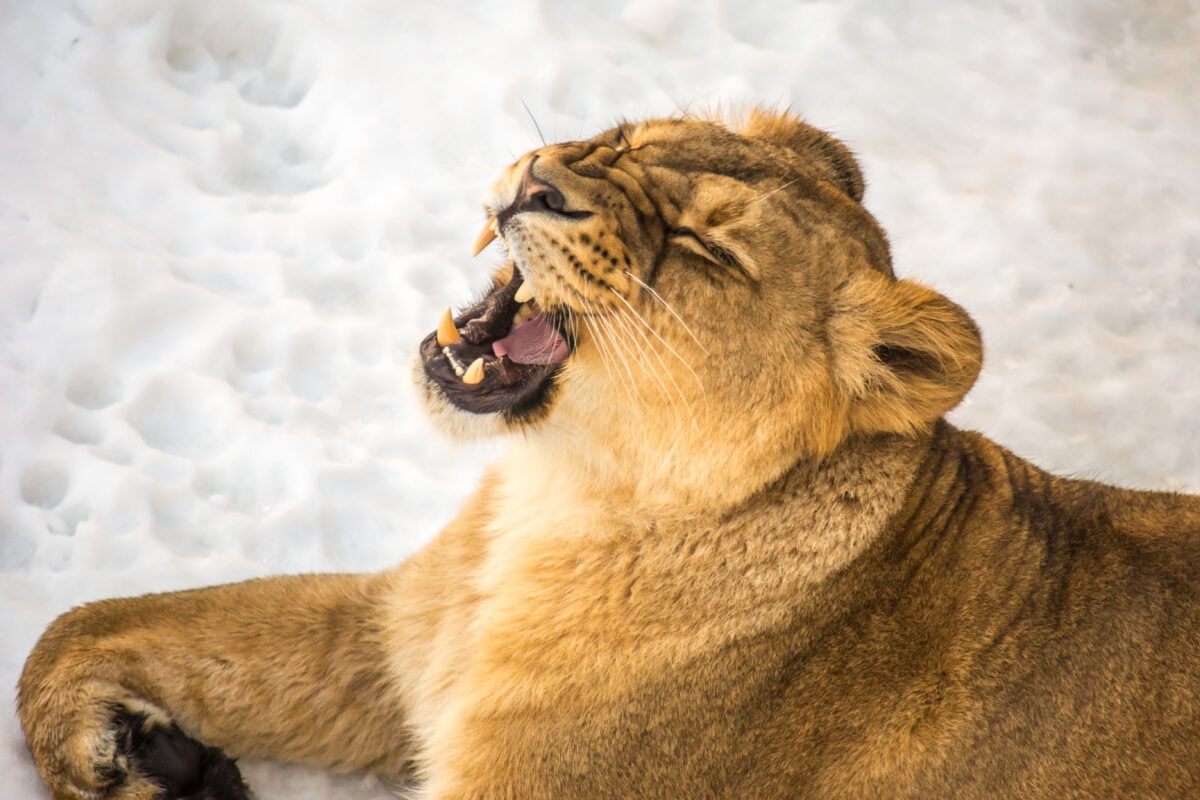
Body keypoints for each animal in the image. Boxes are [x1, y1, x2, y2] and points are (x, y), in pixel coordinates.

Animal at [16, 107, 1200, 800]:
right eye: (617, 139)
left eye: (708, 248)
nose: (538, 180)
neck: (563, 502)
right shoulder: (395, 640)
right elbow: (86, 624)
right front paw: (115, 752)